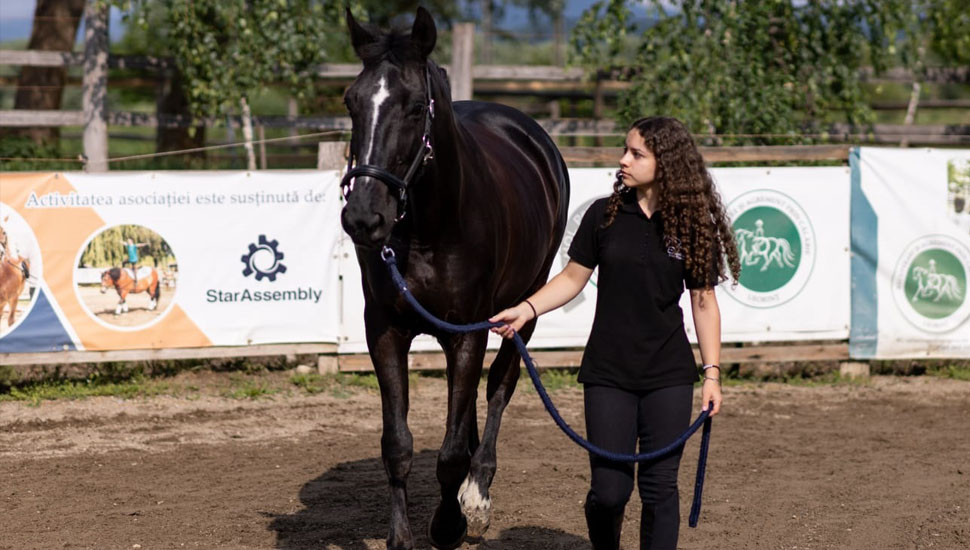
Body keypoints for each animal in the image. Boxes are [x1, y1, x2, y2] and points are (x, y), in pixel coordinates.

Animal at [338, 7, 568, 550]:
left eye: (414, 106)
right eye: (351, 101)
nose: (363, 218)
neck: (430, 228)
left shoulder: (468, 333)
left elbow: (450, 452)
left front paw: (449, 524)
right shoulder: (385, 330)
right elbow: (398, 444)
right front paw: (401, 537)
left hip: (523, 310)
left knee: (499, 389)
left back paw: (476, 495)